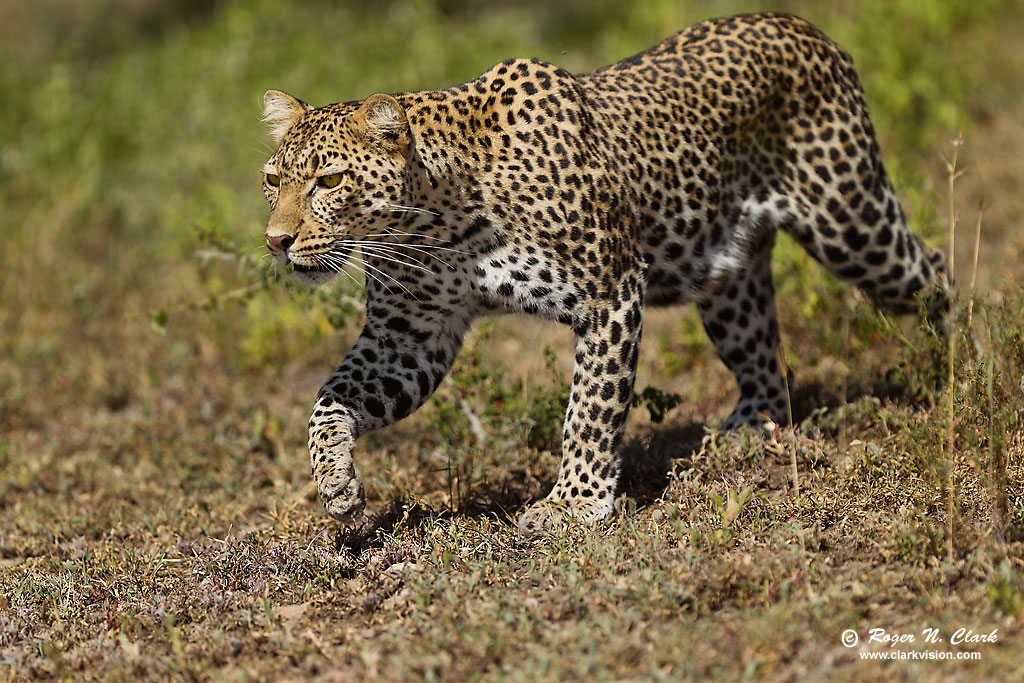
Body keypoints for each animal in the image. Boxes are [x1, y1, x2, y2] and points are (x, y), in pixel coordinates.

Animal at [259, 13, 949, 539]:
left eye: (328, 181)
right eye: (273, 180)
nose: (276, 242)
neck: (438, 224)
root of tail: (800, 24)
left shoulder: (609, 292)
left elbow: (590, 409)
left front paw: (573, 505)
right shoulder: (409, 336)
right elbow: (329, 400)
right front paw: (338, 488)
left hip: (851, 221)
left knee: (935, 272)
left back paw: (954, 371)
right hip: (730, 280)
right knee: (764, 360)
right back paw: (748, 437)